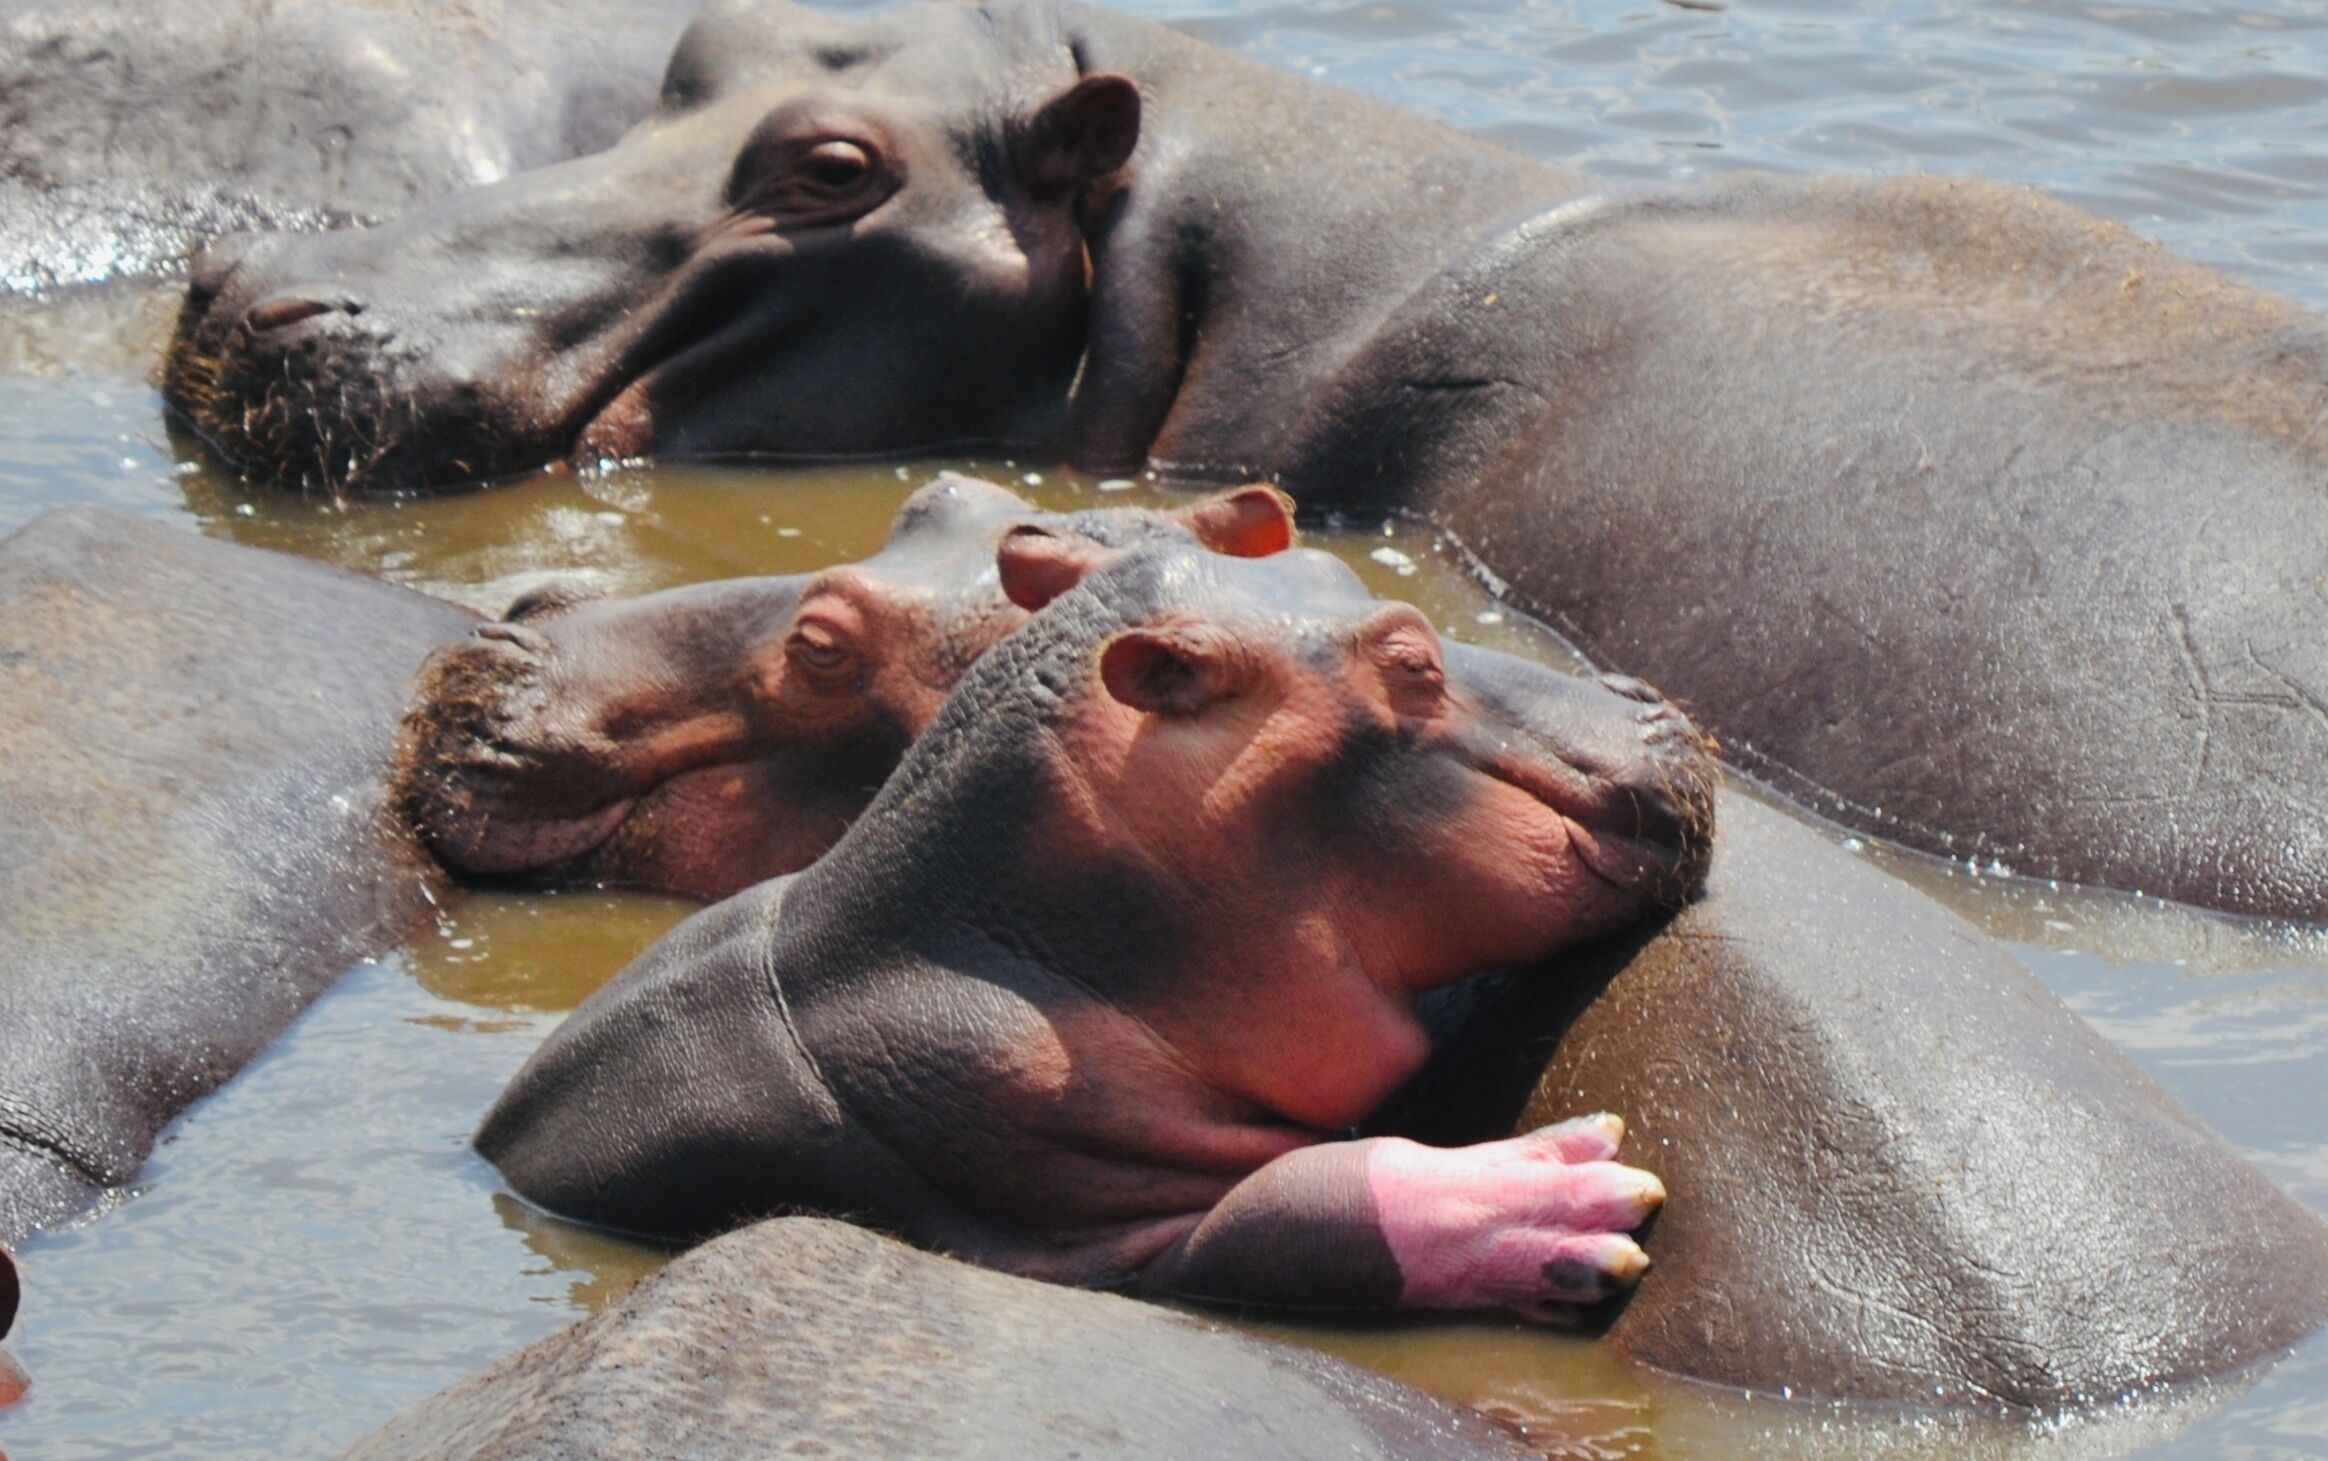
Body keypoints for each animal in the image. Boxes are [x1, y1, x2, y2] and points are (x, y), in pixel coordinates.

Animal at [478, 539, 1717, 1316]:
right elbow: (1290, 1217)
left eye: (1323, 564)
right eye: (1412, 662)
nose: (1646, 695)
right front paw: (1559, 1199)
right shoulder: (1062, 1192)